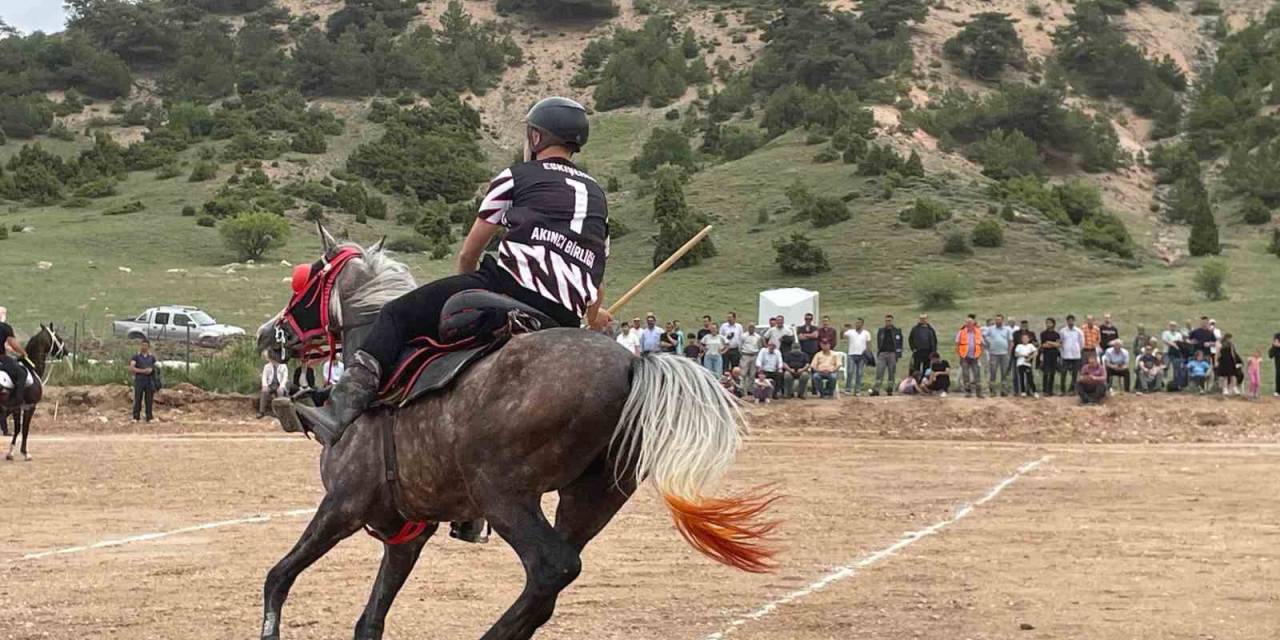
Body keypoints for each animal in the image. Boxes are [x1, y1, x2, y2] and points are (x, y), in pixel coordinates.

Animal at [249, 226, 768, 640]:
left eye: (306, 279)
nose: (266, 333)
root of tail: (632, 363)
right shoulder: (407, 534)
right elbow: (369, 621)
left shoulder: (343, 505)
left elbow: (278, 578)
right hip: (589, 501)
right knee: (548, 590)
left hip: (504, 494)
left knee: (552, 569)